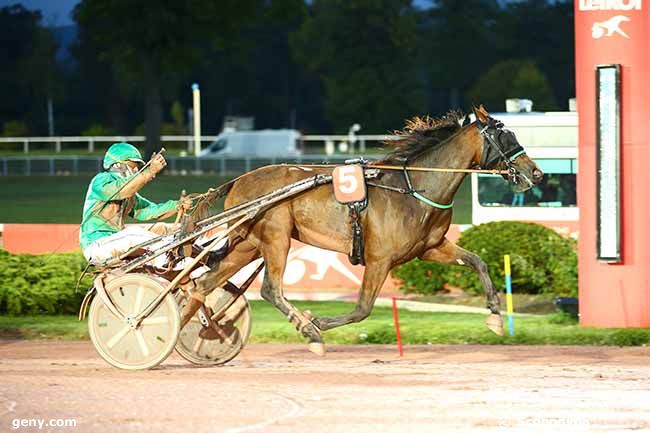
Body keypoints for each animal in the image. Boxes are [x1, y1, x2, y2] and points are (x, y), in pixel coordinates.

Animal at [181, 106, 540, 352]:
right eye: (506, 137)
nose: (535, 173)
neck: (413, 188)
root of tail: (238, 181)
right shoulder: (380, 259)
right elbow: (363, 308)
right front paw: (316, 323)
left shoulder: (431, 248)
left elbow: (479, 262)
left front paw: (495, 316)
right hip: (276, 237)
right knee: (270, 289)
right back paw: (307, 331)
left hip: (248, 244)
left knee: (203, 284)